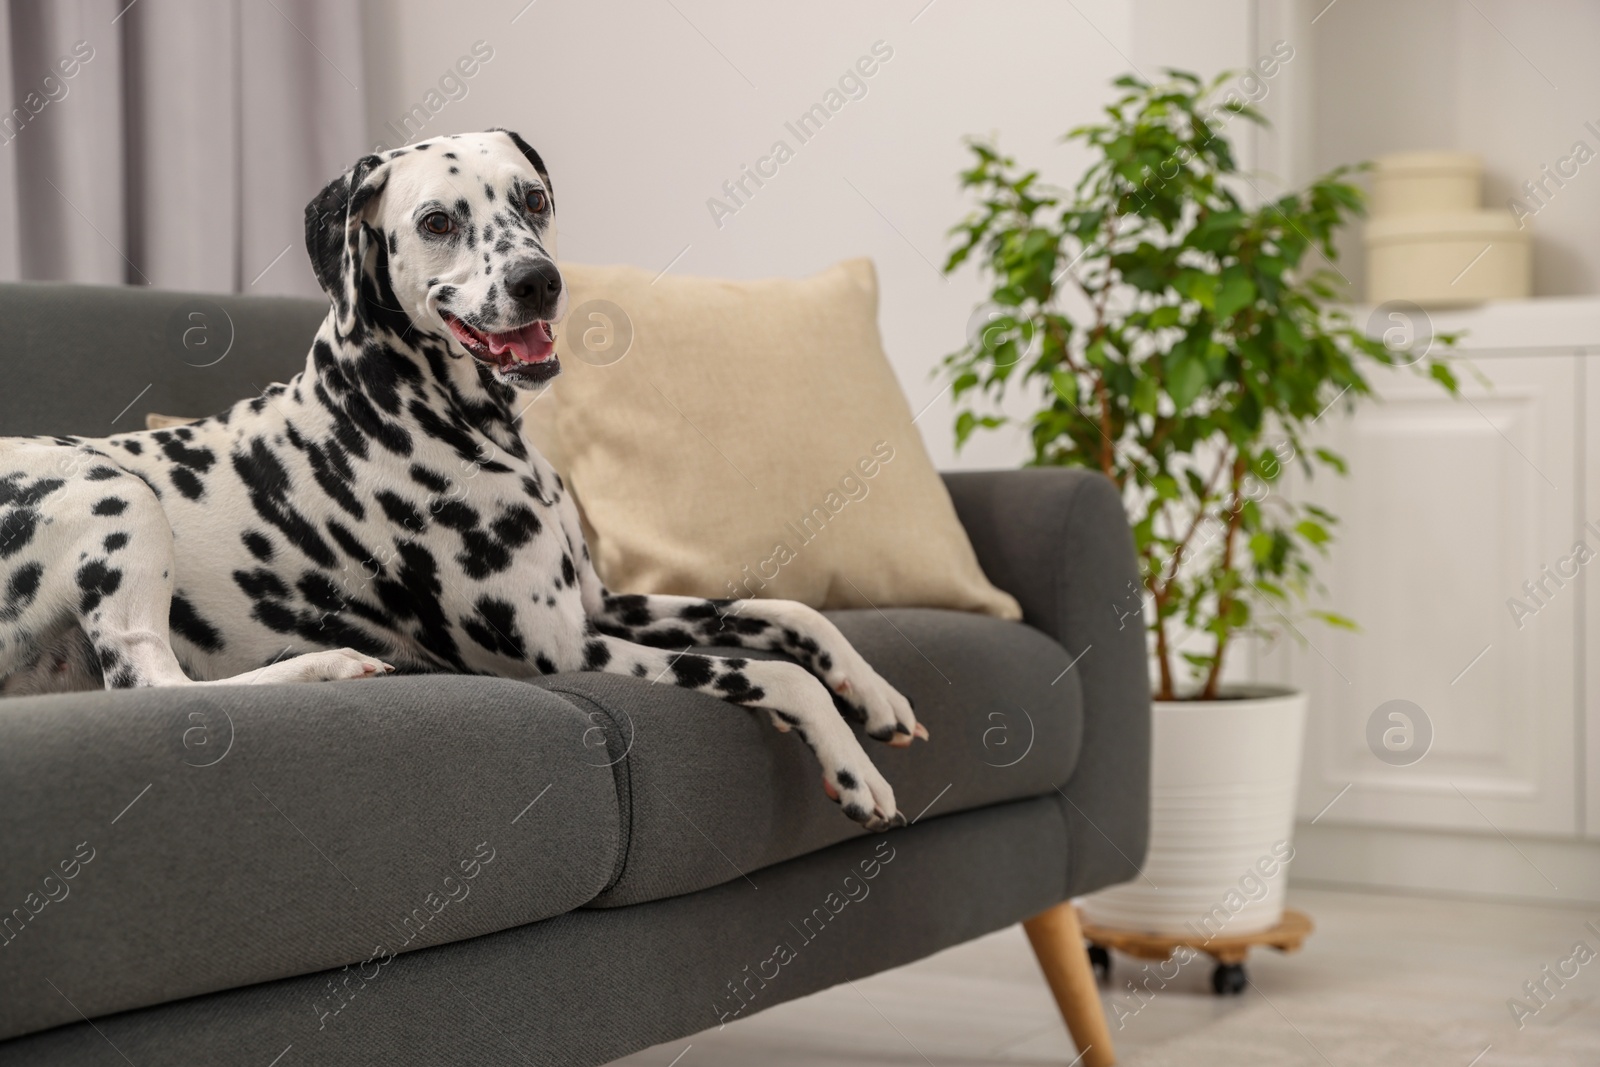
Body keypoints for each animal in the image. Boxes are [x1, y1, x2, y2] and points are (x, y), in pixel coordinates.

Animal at [0, 129, 928, 831]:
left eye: (533, 199)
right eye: (438, 220)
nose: (537, 282)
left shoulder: (600, 603)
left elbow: (790, 611)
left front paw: (875, 692)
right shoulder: (565, 649)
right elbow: (769, 670)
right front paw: (851, 762)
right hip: (116, 492)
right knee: (149, 682)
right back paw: (331, 666)